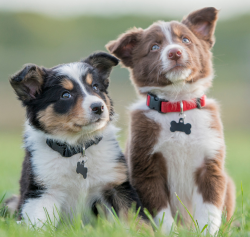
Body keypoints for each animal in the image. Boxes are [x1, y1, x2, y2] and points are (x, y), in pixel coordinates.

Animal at [7, 52, 147, 228]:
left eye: (95, 87)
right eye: (65, 95)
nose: (98, 107)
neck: (78, 147)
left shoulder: (117, 185)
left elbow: (138, 220)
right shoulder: (42, 191)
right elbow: (39, 223)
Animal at [106, 7, 235, 235]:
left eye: (185, 40)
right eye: (154, 47)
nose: (175, 52)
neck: (178, 104)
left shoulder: (210, 164)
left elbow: (209, 209)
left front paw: (206, 232)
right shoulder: (146, 168)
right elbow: (161, 211)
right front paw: (170, 232)